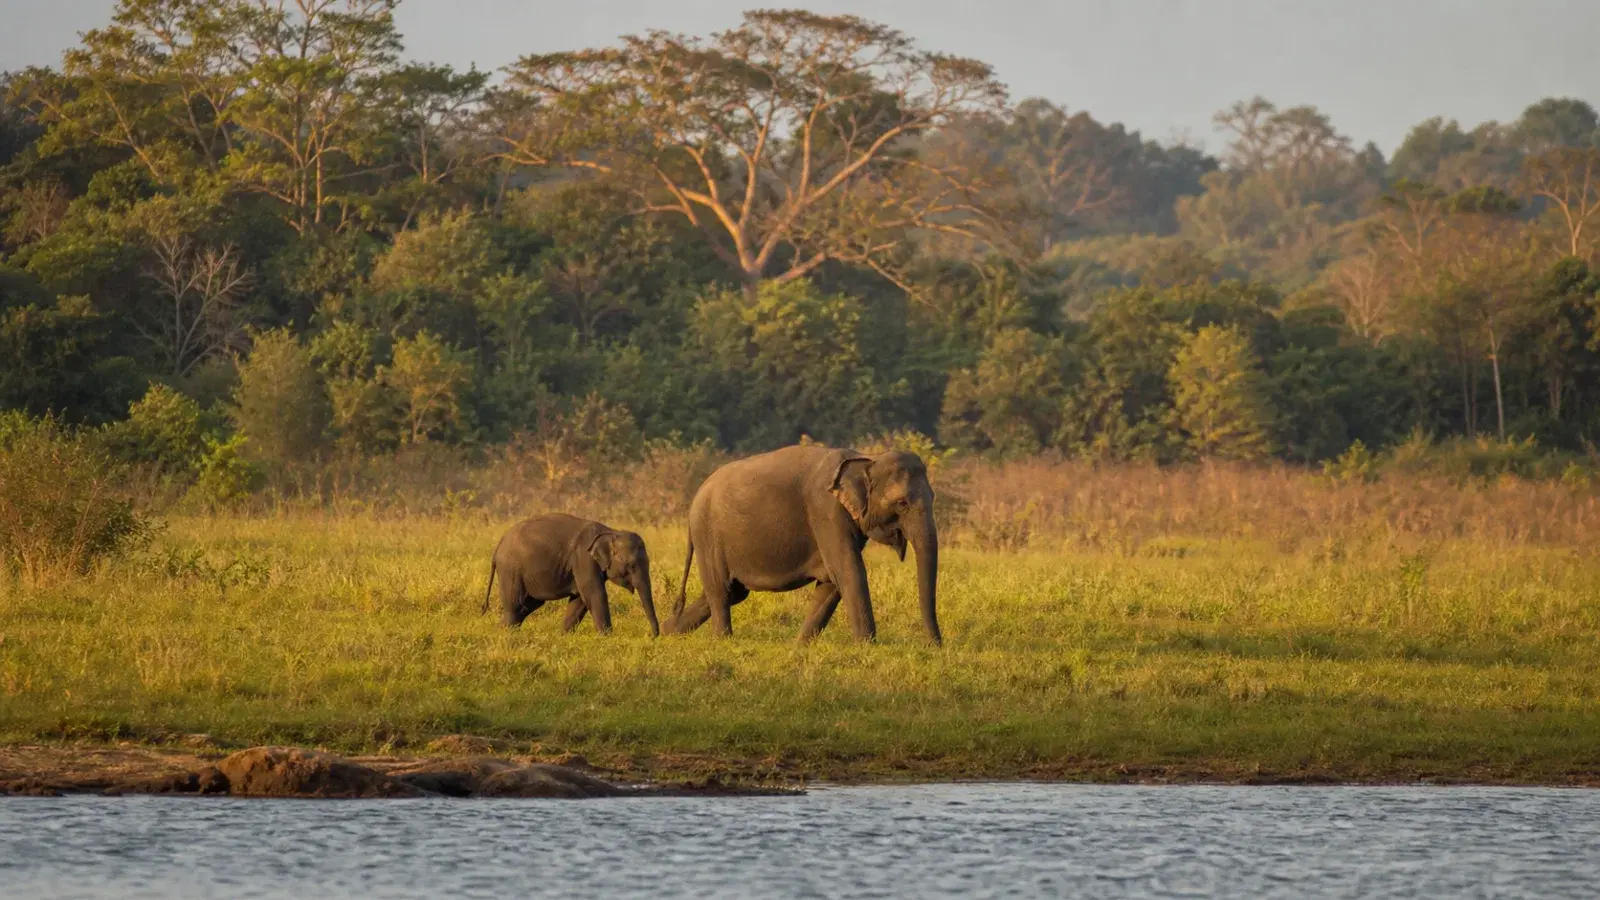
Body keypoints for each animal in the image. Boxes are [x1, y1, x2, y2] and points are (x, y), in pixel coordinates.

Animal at [481, 513, 660, 636]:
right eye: (631, 565)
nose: (652, 636)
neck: (611, 532)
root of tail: (499, 544)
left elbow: (579, 600)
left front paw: (563, 636)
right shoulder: (583, 559)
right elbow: (595, 594)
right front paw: (607, 638)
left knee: (528, 605)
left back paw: (500, 632)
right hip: (510, 570)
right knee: (515, 604)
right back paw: (508, 636)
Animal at [665, 443, 941, 645]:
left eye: (933, 497)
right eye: (902, 503)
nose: (935, 645)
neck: (866, 458)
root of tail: (696, 497)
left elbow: (831, 581)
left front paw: (800, 645)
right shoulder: (826, 512)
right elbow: (848, 570)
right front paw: (867, 646)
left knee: (731, 592)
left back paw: (666, 634)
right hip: (708, 535)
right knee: (721, 591)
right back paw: (722, 641)